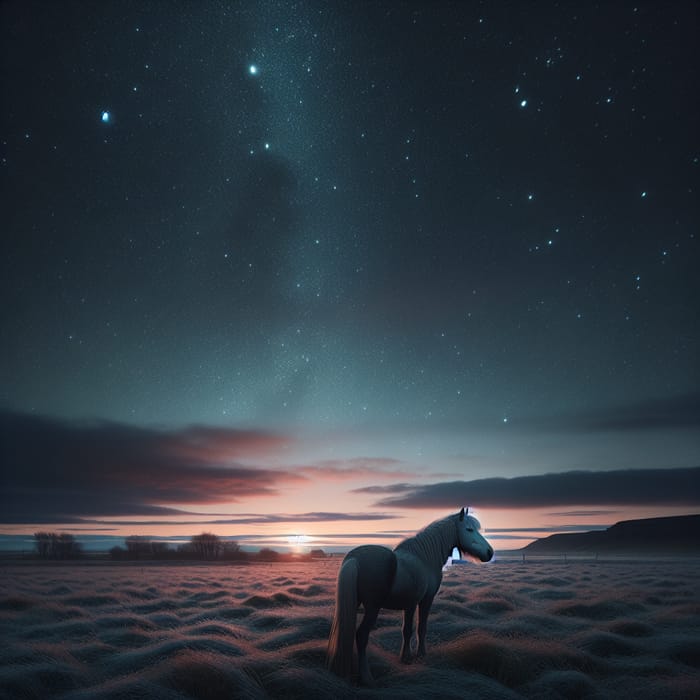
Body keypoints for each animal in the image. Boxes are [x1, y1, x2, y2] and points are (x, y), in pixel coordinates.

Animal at [326, 506, 494, 688]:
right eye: (469, 529)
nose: (490, 553)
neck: (424, 559)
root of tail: (354, 558)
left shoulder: (410, 604)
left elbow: (406, 630)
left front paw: (405, 657)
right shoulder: (426, 600)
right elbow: (421, 628)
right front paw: (420, 654)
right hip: (372, 608)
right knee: (361, 635)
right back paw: (367, 678)